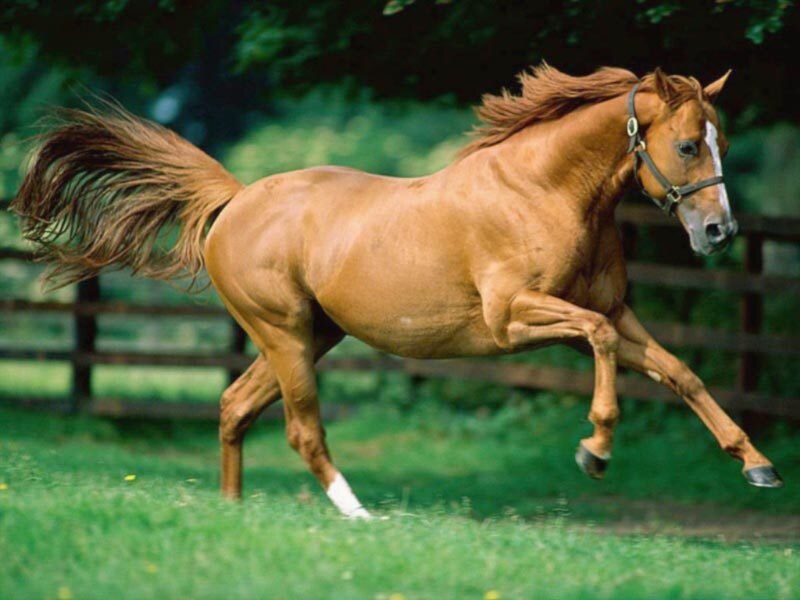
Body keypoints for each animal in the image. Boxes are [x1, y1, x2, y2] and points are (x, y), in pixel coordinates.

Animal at [11, 64, 783, 519]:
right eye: (688, 145)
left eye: (722, 140)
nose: (719, 231)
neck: (543, 191)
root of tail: (235, 200)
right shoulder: (515, 320)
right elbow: (598, 347)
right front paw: (594, 450)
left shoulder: (614, 311)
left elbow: (681, 373)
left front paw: (758, 467)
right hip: (285, 334)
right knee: (301, 428)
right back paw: (358, 514)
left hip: (313, 334)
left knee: (234, 406)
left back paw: (233, 511)